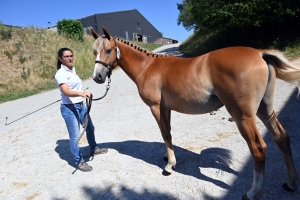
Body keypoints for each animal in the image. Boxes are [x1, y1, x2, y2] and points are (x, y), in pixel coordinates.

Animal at [91, 27, 300, 200]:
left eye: (108, 50)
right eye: (94, 51)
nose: (97, 77)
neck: (148, 67)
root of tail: (259, 53)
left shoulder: (156, 107)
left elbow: (165, 134)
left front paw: (169, 166)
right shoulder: (166, 108)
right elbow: (168, 133)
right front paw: (168, 157)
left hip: (243, 116)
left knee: (258, 148)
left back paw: (253, 192)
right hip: (265, 108)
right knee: (282, 138)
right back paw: (290, 183)